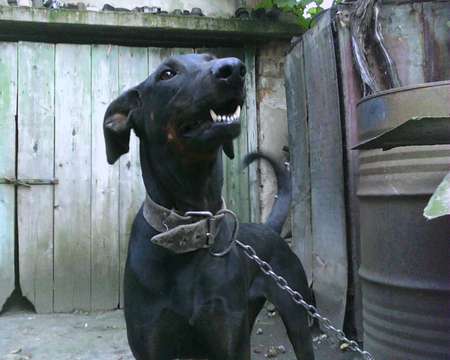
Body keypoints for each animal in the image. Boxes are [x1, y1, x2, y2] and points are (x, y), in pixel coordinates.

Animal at [103, 54, 312, 360]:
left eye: (210, 58)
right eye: (167, 74)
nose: (234, 69)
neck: (191, 225)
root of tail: (270, 229)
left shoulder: (229, 338)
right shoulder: (151, 341)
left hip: (295, 313)